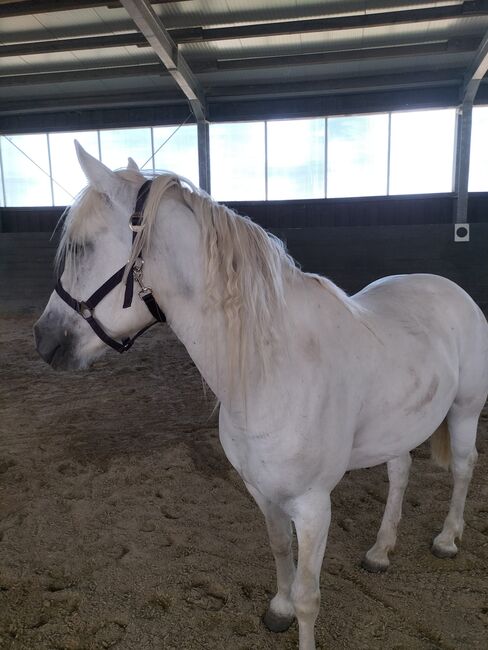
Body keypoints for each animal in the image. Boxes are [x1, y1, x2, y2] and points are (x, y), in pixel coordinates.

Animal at [32, 143, 486, 648]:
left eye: (80, 247)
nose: (43, 338)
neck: (271, 371)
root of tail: (451, 289)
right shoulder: (262, 491)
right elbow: (279, 549)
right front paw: (279, 608)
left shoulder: (312, 506)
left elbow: (310, 597)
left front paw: (298, 616)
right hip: (398, 427)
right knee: (400, 471)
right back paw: (381, 550)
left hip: (465, 411)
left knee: (463, 467)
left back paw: (447, 539)